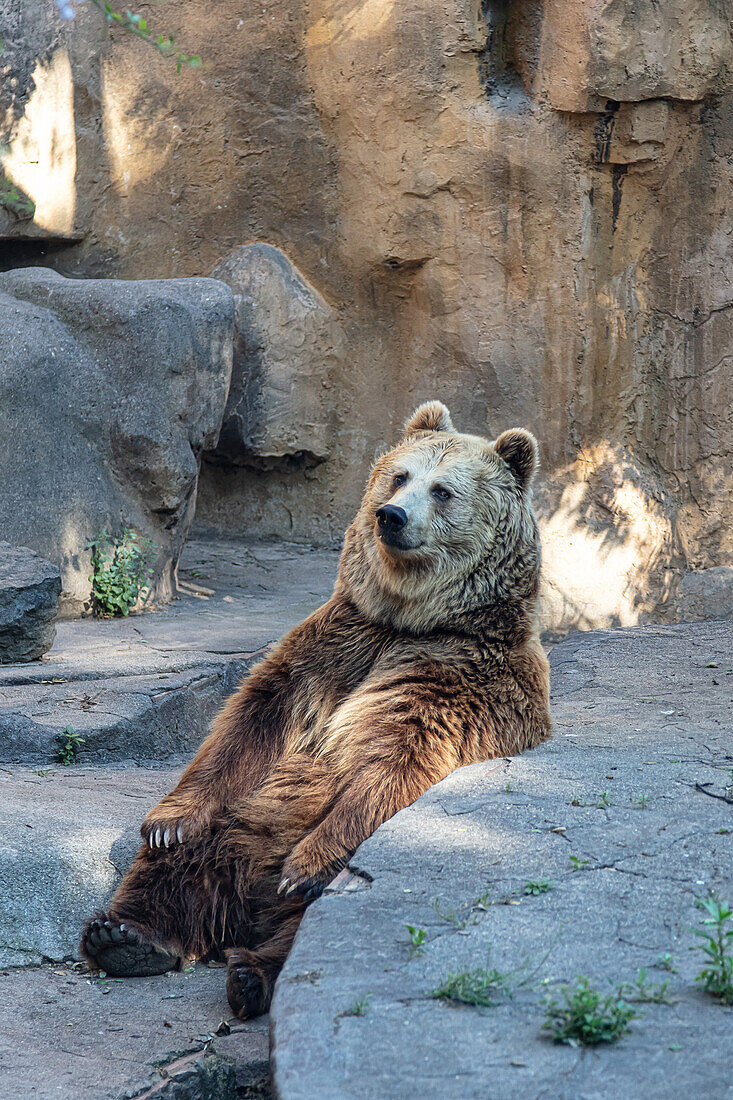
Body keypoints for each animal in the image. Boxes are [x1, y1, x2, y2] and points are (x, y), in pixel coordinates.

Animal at [79, 400, 548, 1016]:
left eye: (444, 490)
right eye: (399, 475)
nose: (392, 516)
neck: (409, 619)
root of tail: (249, 907)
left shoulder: (451, 679)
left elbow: (392, 765)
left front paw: (303, 866)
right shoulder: (333, 649)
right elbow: (250, 723)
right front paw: (167, 823)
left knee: (313, 921)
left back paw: (252, 970)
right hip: (239, 819)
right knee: (184, 864)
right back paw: (126, 935)